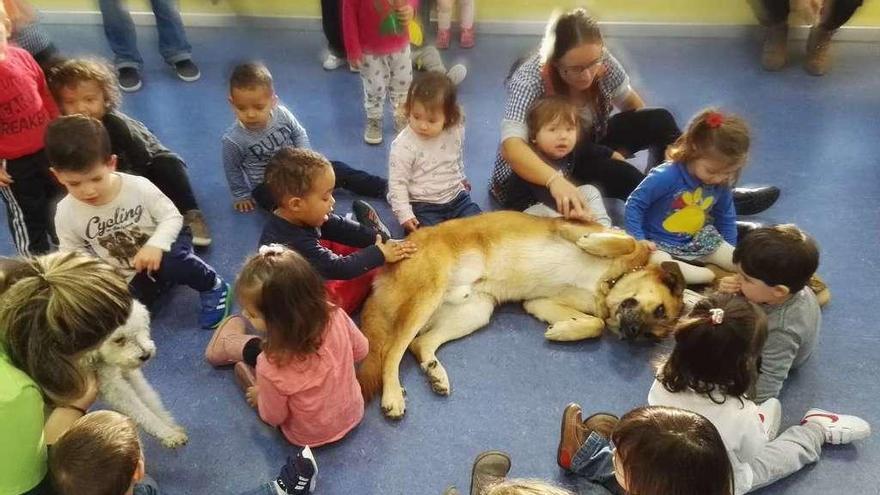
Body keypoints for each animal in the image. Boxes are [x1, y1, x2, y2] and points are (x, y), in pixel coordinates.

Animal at [84, 302, 187, 450]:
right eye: (119, 339)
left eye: (140, 328)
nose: (146, 355)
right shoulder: (114, 389)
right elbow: (143, 413)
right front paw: (168, 433)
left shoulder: (129, 374)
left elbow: (151, 401)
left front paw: (170, 426)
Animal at [354, 211, 684, 420]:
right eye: (659, 309)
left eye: (651, 334)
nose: (632, 333)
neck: (611, 282)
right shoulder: (566, 227)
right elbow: (626, 241)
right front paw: (593, 242)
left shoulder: (538, 303)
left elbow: (595, 324)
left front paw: (563, 330)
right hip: (427, 296)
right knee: (392, 351)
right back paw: (393, 396)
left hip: (477, 310)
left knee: (419, 344)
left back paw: (436, 373)